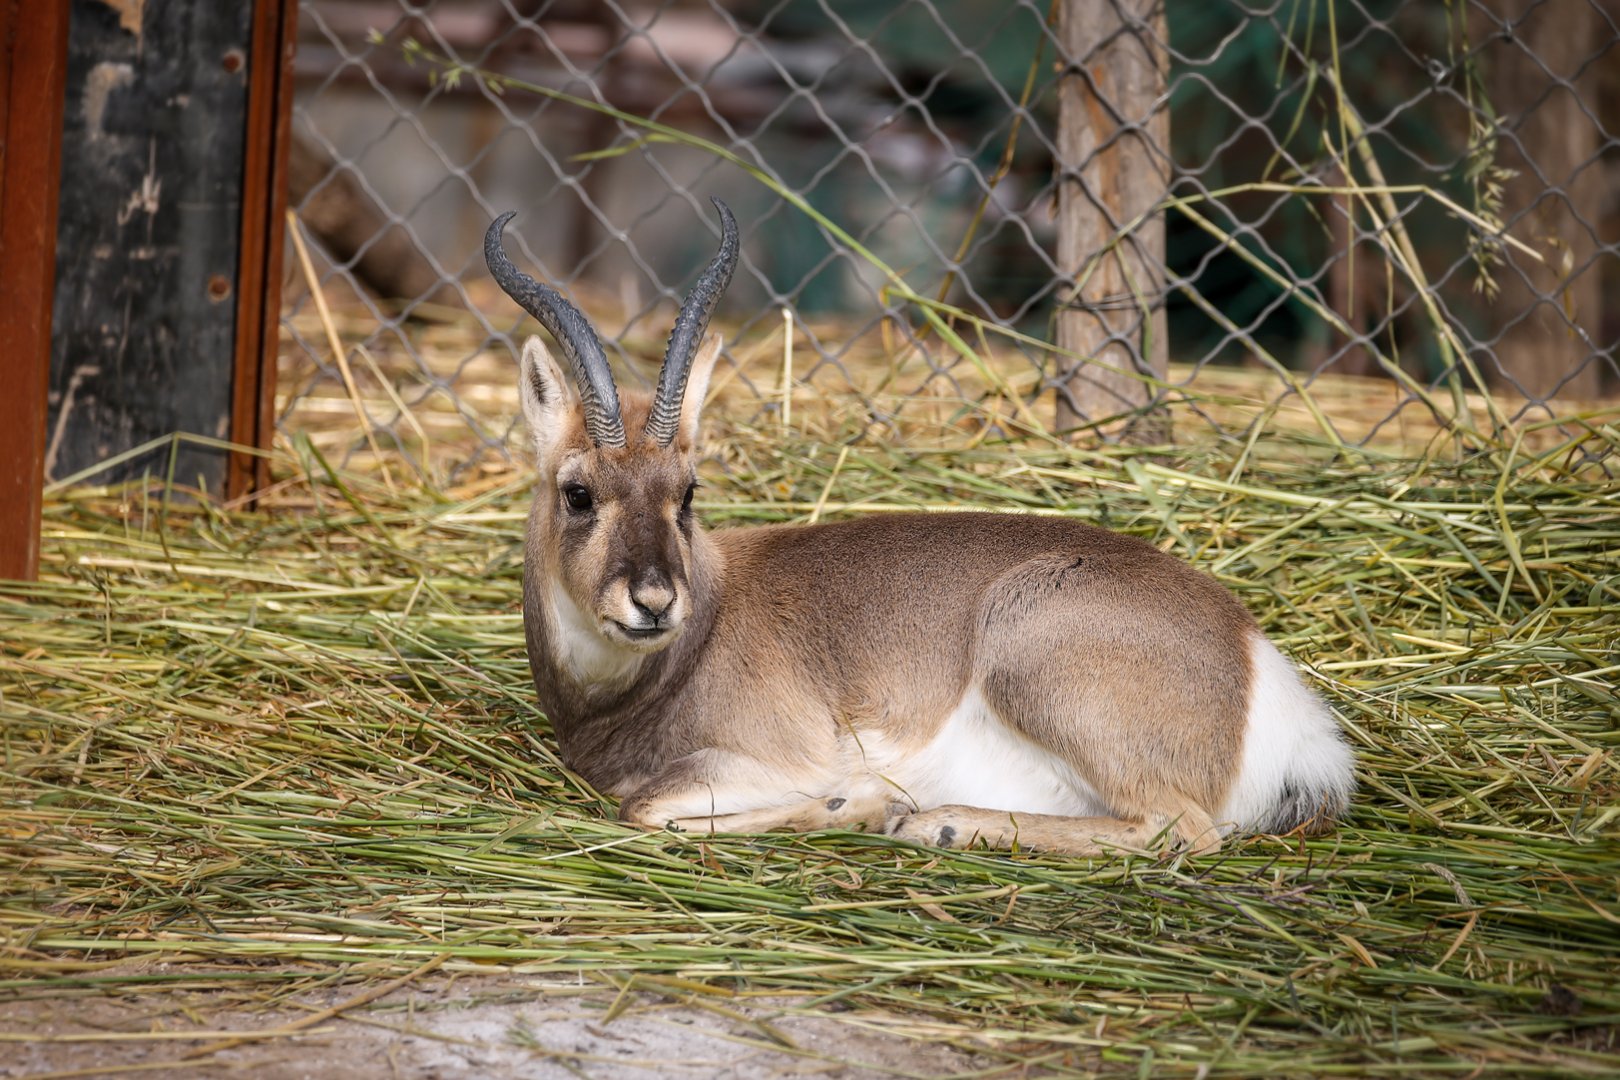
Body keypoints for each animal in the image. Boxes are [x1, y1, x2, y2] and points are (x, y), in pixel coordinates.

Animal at [485, 199, 1354, 856]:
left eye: (687, 491)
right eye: (579, 492)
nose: (656, 602)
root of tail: (1257, 667)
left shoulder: (774, 760)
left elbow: (646, 809)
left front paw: (862, 803)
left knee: (1183, 830)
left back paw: (937, 823)